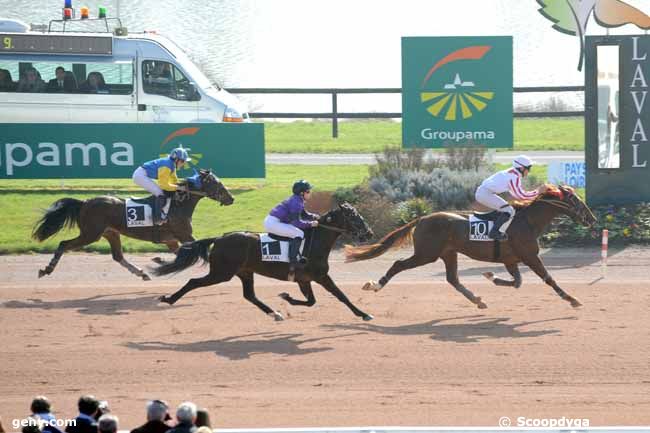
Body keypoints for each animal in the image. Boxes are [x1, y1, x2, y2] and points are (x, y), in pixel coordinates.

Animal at [33, 169, 234, 280]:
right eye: (218, 183)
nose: (231, 198)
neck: (178, 204)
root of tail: (84, 202)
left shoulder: (172, 240)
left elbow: (183, 255)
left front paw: (159, 261)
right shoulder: (185, 235)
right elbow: (197, 253)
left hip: (110, 233)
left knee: (117, 256)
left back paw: (142, 273)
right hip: (91, 234)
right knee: (64, 244)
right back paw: (47, 269)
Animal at [153, 202, 374, 320]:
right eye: (354, 217)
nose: (369, 233)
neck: (316, 241)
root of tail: (219, 238)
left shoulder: (304, 280)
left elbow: (311, 301)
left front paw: (286, 297)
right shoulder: (320, 276)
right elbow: (341, 295)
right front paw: (364, 314)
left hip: (244, 272)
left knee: (249, 295)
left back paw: (274, 313)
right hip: (221, 273)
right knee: (193, 282)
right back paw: (169, 299)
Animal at [346, 184, 596, 308]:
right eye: (575, 199)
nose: (592, 219)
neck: (527, 221)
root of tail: (422, 218)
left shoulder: (511, 259)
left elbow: (517, 282)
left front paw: (491, 276)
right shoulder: (530, 256)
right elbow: (548, 278)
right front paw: (572, 300)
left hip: (448, 253)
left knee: (453, 279)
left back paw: (477, 300)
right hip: (426, 254)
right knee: (398, 264)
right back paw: (375, 285)